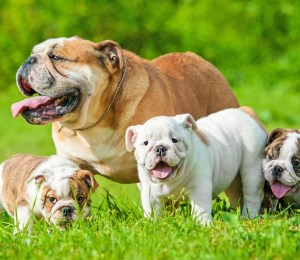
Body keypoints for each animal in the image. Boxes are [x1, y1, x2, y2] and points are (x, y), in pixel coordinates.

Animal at [125, 108, 266, 224]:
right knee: (237, 196)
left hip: (252, 167)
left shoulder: (199, 187)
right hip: (234, 181)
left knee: (252, 195)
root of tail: (246, 114)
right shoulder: (150, 192)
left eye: (175, 140)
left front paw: (202, 224)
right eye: (145, 143)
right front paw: (152, 223)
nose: (160, 148)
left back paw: (248, 217)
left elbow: (200, 208)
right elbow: (152, 210)